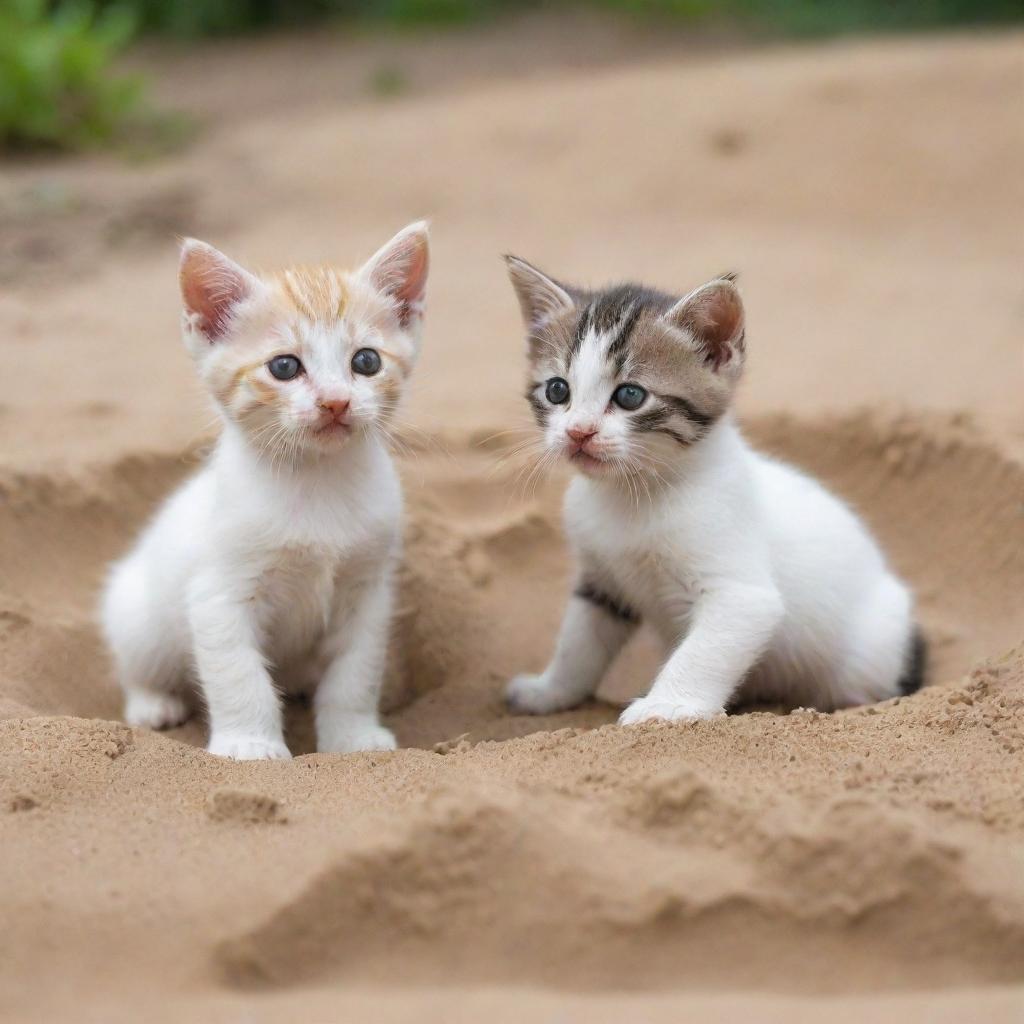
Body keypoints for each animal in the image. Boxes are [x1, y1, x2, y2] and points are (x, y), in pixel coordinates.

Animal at [99, 220, 428, 757]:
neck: (318, 481)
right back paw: (153, 704)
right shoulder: (218, 595)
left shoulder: (367, 592)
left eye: (366, 361)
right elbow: (239, 676)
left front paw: (353, 736)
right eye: (284, 367)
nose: (335, 401)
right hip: (138, 615)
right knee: (137, 665)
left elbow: (355, 673)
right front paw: (250, 744)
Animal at [503, 256, 929, 724]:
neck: (632, 494)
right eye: (557, 390)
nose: (579, 432)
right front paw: (549, 691)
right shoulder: (601, 583)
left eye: (630, 395)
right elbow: (578, 645)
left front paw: (665, 706)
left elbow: (703, 653)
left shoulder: (742, 594)